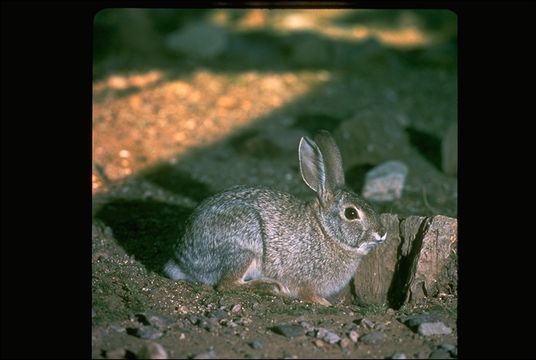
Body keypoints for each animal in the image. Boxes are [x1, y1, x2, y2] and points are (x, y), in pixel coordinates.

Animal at [163, 131, 386, 306]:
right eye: (351, 213)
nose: (382, 233)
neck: (326, 232)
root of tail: (182, 262)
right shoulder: (304, 279)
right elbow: (307, 294)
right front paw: (324, 303)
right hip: (244, 247)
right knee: (226, 284)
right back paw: (269, 286)